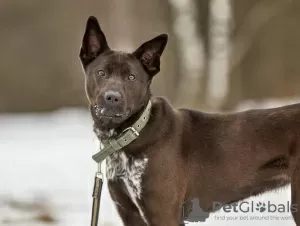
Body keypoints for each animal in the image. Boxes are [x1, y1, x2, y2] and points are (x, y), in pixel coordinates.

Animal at [78, 16, 298, 226]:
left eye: (131, 77)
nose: (112, 98)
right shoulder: (130, 213)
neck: (133, 132)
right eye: (101, 73)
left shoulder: (164, 215)